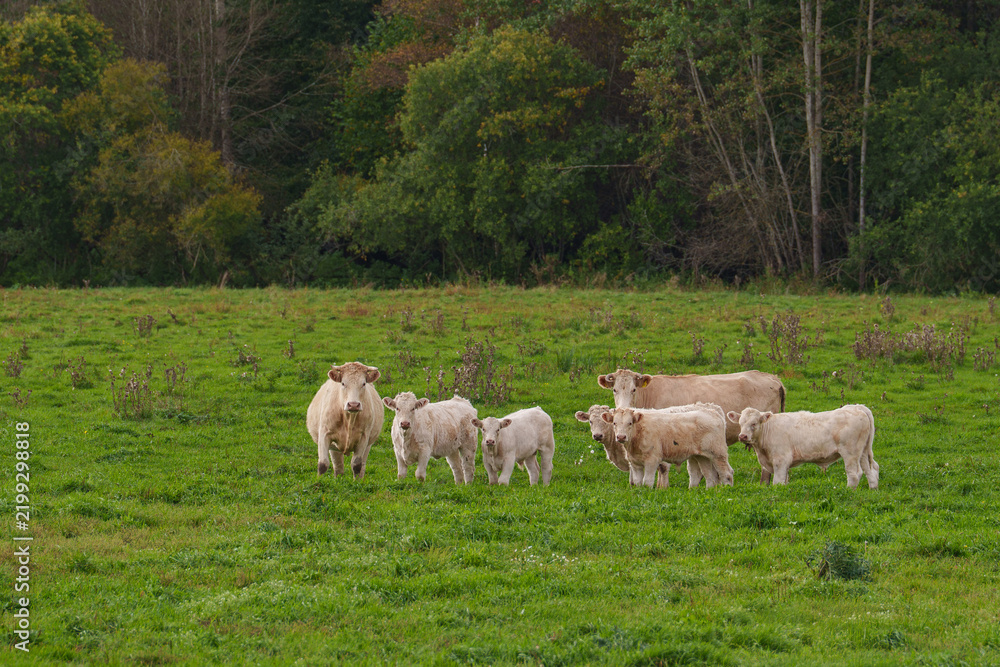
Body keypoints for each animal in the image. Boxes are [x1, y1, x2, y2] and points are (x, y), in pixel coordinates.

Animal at [601, 404, 733, 488]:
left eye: (630, 423)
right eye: (614, 423)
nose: (621, 437)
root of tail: (712, 411)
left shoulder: (652, 460)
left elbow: (647, 481)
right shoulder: (635, 463)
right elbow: (638, 482)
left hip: (718, 453)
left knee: (727, 473)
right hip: (702, 456)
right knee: (709, 476)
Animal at [727, 405, 878, 488]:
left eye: (754, 423)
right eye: (740, 423)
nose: (743, 436)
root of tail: (857, 407)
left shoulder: (781, 460)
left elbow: (778, 481)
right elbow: (784, 481)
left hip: (850, 453)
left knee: (854, 474)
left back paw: (848, 491)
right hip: (863, 452)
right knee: (871, 470)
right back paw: (873, 490)